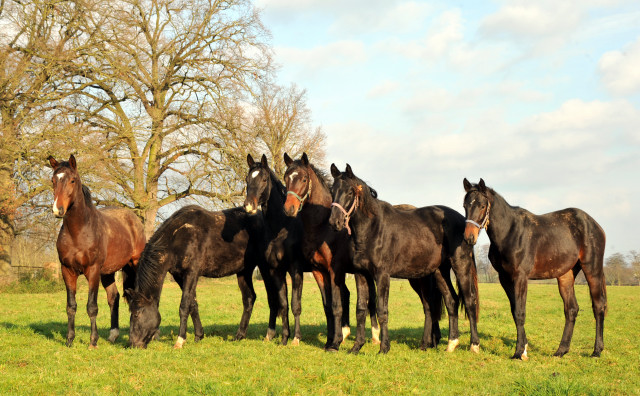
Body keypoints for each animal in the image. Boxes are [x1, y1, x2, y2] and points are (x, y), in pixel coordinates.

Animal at [48, 154, 146, 346]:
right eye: (53, 180)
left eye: (72, 180)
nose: (58, 210)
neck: (79, 232)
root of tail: (133, 219)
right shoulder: (67, 271)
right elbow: (71, 306)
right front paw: (69, 340)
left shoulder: (92, 271)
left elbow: (91, 307)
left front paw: (93, 341)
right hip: (107, 272)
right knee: (114, 297)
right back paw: (113, 334)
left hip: (134, 264)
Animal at [242, 153, 308, 344]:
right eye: (247, 179)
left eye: (264, 179)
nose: (249, 205)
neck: (283, 228)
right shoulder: (275, 270)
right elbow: (283, 304)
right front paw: (285, 337)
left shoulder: (295, 269)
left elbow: (295, 304)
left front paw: (296, 338)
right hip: (264, 271)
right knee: (272, 301)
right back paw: (269, 333)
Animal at [328, 162, 478, 354]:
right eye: (332, 190)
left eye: (349, 192)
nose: (335, 222)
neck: (372, 229)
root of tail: (464, 223)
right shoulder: (361, 274)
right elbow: (360, 309)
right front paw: (356, 347)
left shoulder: (382, 275)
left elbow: (382, 310)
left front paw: (384, 348)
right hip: (439, 272)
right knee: (451, 301)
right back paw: (451, 343)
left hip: (461, 267)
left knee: (469, 301)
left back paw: (474, 345)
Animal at [462, 179, 608, 358]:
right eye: (465, 205)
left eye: (482, 205)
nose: (469, 237)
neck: (510, 232)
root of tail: (594, 225)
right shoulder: (504, 278)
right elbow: (514, 310)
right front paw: (524, 348)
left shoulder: (520, 277)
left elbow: (520, 312)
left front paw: (518, 352)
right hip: (566, 275)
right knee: (571, 309)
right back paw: (561, 350)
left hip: (592, 270)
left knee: (598, 306)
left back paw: (597, 350)